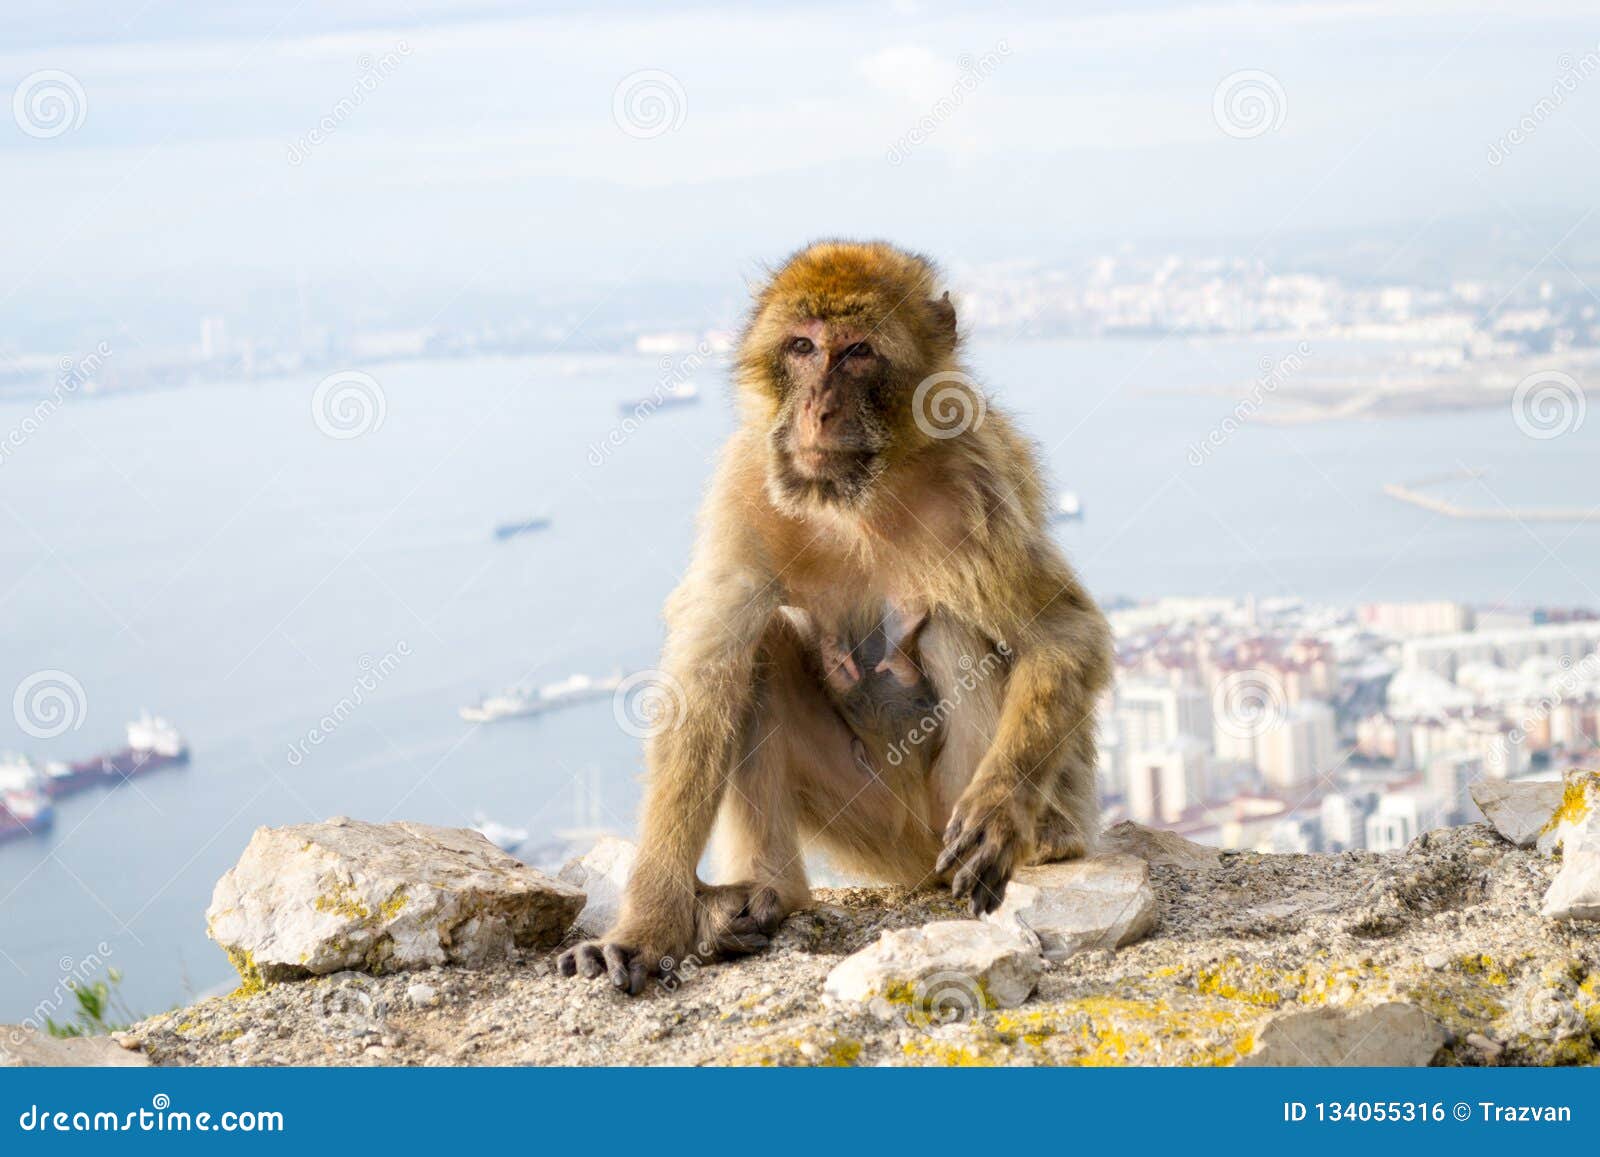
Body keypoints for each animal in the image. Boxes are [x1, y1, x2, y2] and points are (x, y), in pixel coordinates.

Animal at [563, 236, 1113, 998]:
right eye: (801, 346)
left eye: (856, 352)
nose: (817, 411)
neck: (860, 494)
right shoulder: (746, 484)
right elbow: (704, 683)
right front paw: (647, 929)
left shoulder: (972, 484)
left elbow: (1063, 635)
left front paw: (1000, 810)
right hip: (870, 822)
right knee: (760, 648)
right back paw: (769, 899)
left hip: (941, 819)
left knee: (952, 626)